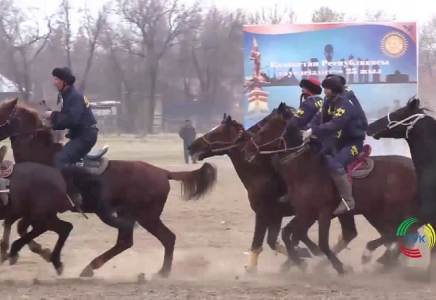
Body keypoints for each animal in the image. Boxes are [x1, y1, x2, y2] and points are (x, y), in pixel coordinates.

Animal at [0, 99, 218, 278]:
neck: (43, 157)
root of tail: (163, 172)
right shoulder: (32, 210)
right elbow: (22, 228)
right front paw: (38, 252)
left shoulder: (43, 210)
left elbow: (25, 228)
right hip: (134, 215)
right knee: (130, 241)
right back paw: (92, 267)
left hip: (145, 216)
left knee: (164, 238)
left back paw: (161, 272)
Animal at [242, 103, 418, 274]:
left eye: (263, 131)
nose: (245, 149)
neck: (307, 172)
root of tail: (413, 167)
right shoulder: (305, 212)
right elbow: (289, 233)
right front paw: (301, 261)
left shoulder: (322, 213)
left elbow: (321, 242)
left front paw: (338, 266)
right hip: (377, 212)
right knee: (399, 234)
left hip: (391, 211)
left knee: (401, 233)